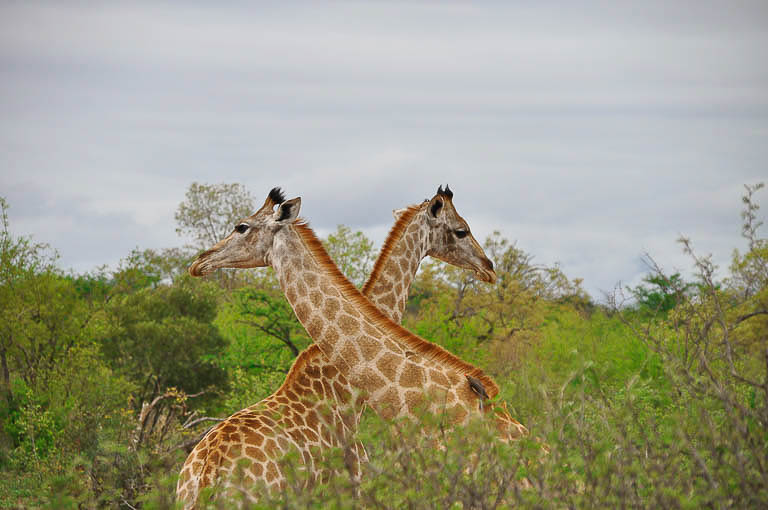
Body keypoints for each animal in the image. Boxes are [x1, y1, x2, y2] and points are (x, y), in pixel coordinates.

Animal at [176, 189, 524, 508]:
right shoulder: (351, 484)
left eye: (241, 227)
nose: (488, 266)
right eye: (461, 230)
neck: (343, 387)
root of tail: (207, 476)